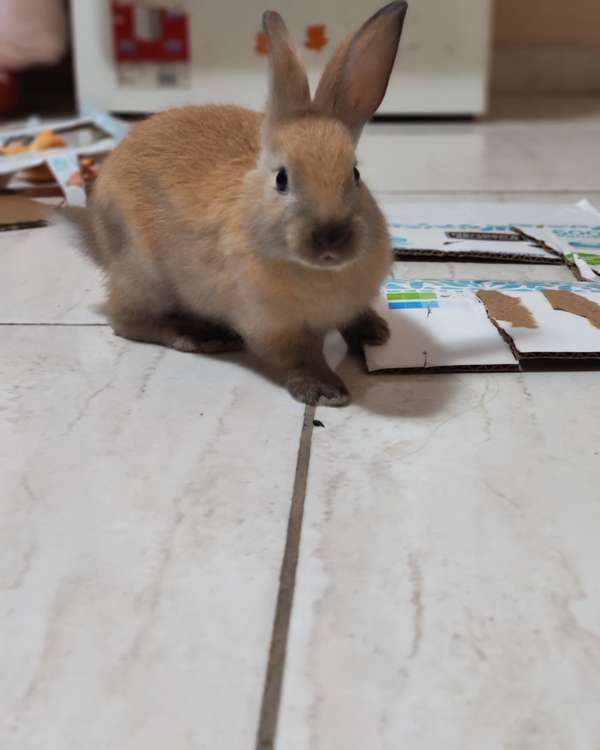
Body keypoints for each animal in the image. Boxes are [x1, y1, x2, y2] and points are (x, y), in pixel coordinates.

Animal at [60, 1, 408, 406]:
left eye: (354, 174)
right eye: (282, 179)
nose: (330, 239)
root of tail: (97, 241)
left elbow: (351, 319)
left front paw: (375, 333)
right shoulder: (272, 328)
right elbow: (299, 356)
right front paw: (325, 390)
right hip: (143, 274)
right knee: (125, 320)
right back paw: (195, 335)